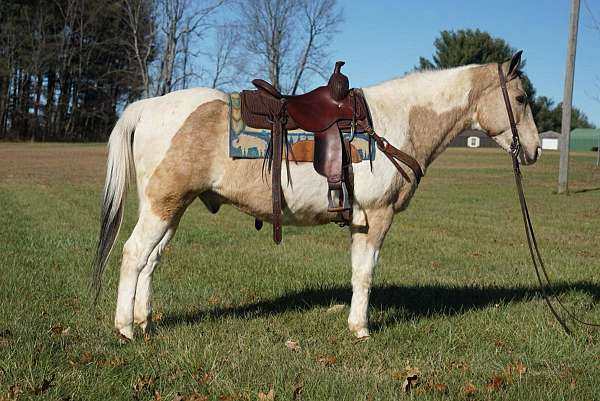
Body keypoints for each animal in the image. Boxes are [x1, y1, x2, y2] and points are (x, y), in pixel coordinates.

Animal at [92, 51, 540, 340]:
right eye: (520, 98)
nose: (534, 150)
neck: (396, 123)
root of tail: (147, 107)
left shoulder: (362, 219)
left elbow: (359, 272)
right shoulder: (377, 216)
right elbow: (366, 273)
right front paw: (361, 330)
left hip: (172, 206)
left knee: (152, 260)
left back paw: (144, 321)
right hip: (161, 205)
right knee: (134, 254)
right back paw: (125, 328)